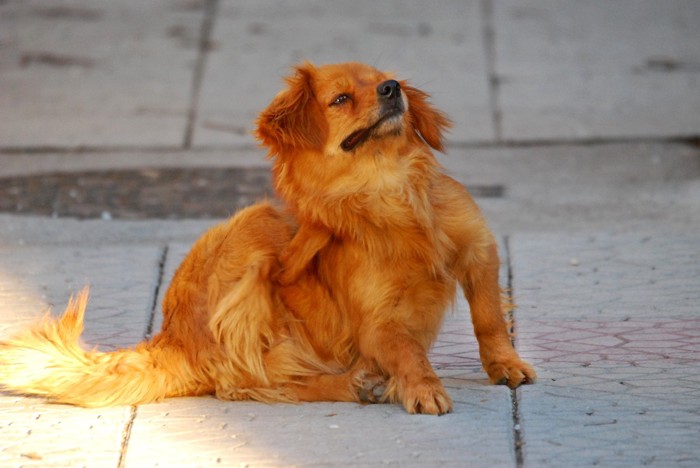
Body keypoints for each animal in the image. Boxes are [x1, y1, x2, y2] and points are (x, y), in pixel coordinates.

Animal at [1, 61, 536, 414]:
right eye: (342, 99)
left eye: (388, 80)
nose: (392, 88)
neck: (390, 187)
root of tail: (171, 338)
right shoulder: (376, 324)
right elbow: (408, 350)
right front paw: (423, 386)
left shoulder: (479, 253)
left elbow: (489, 318)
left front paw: (504, 365)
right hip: (255, 230)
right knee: (251, 383)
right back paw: (350, 383)